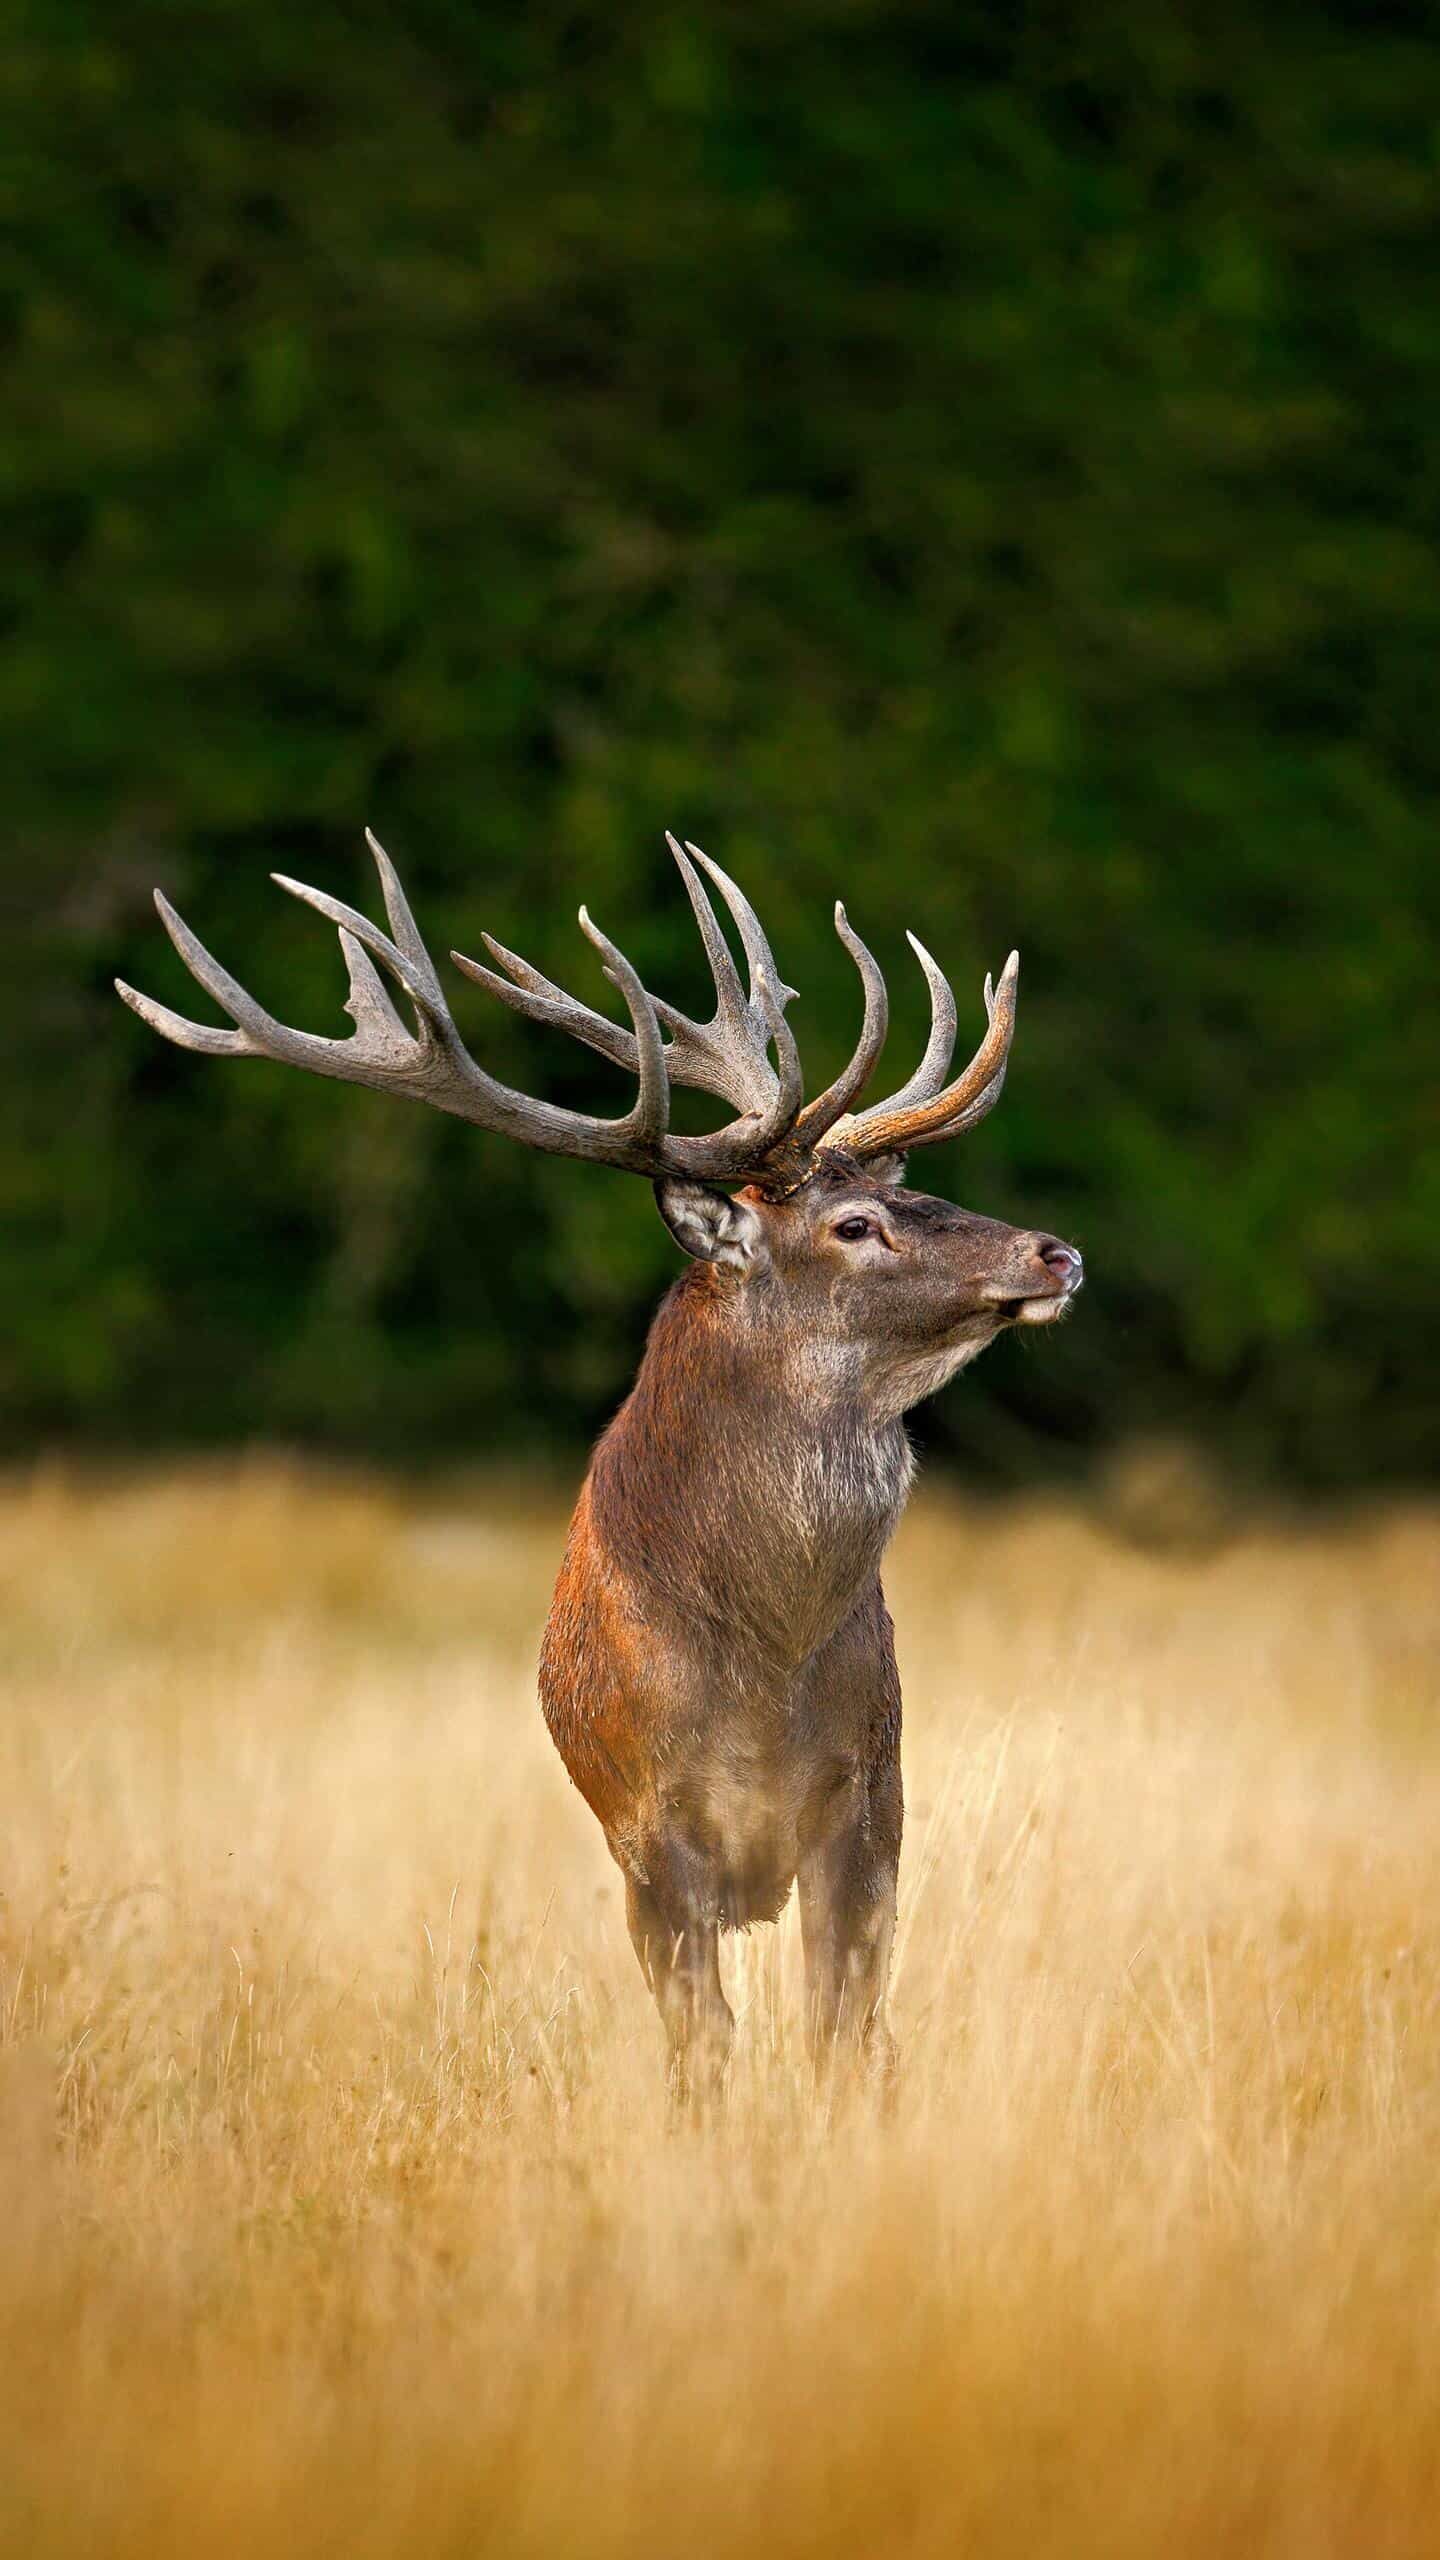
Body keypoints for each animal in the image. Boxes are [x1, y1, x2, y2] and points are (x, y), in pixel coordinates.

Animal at [118, 831, 1082, 2090]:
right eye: (855, 1225)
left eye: (915, 1190)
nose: (1053, 1252)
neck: (766, 1667)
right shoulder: (646, 1826)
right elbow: (704, 2048)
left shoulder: (874, 1792)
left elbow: (843, 2035)